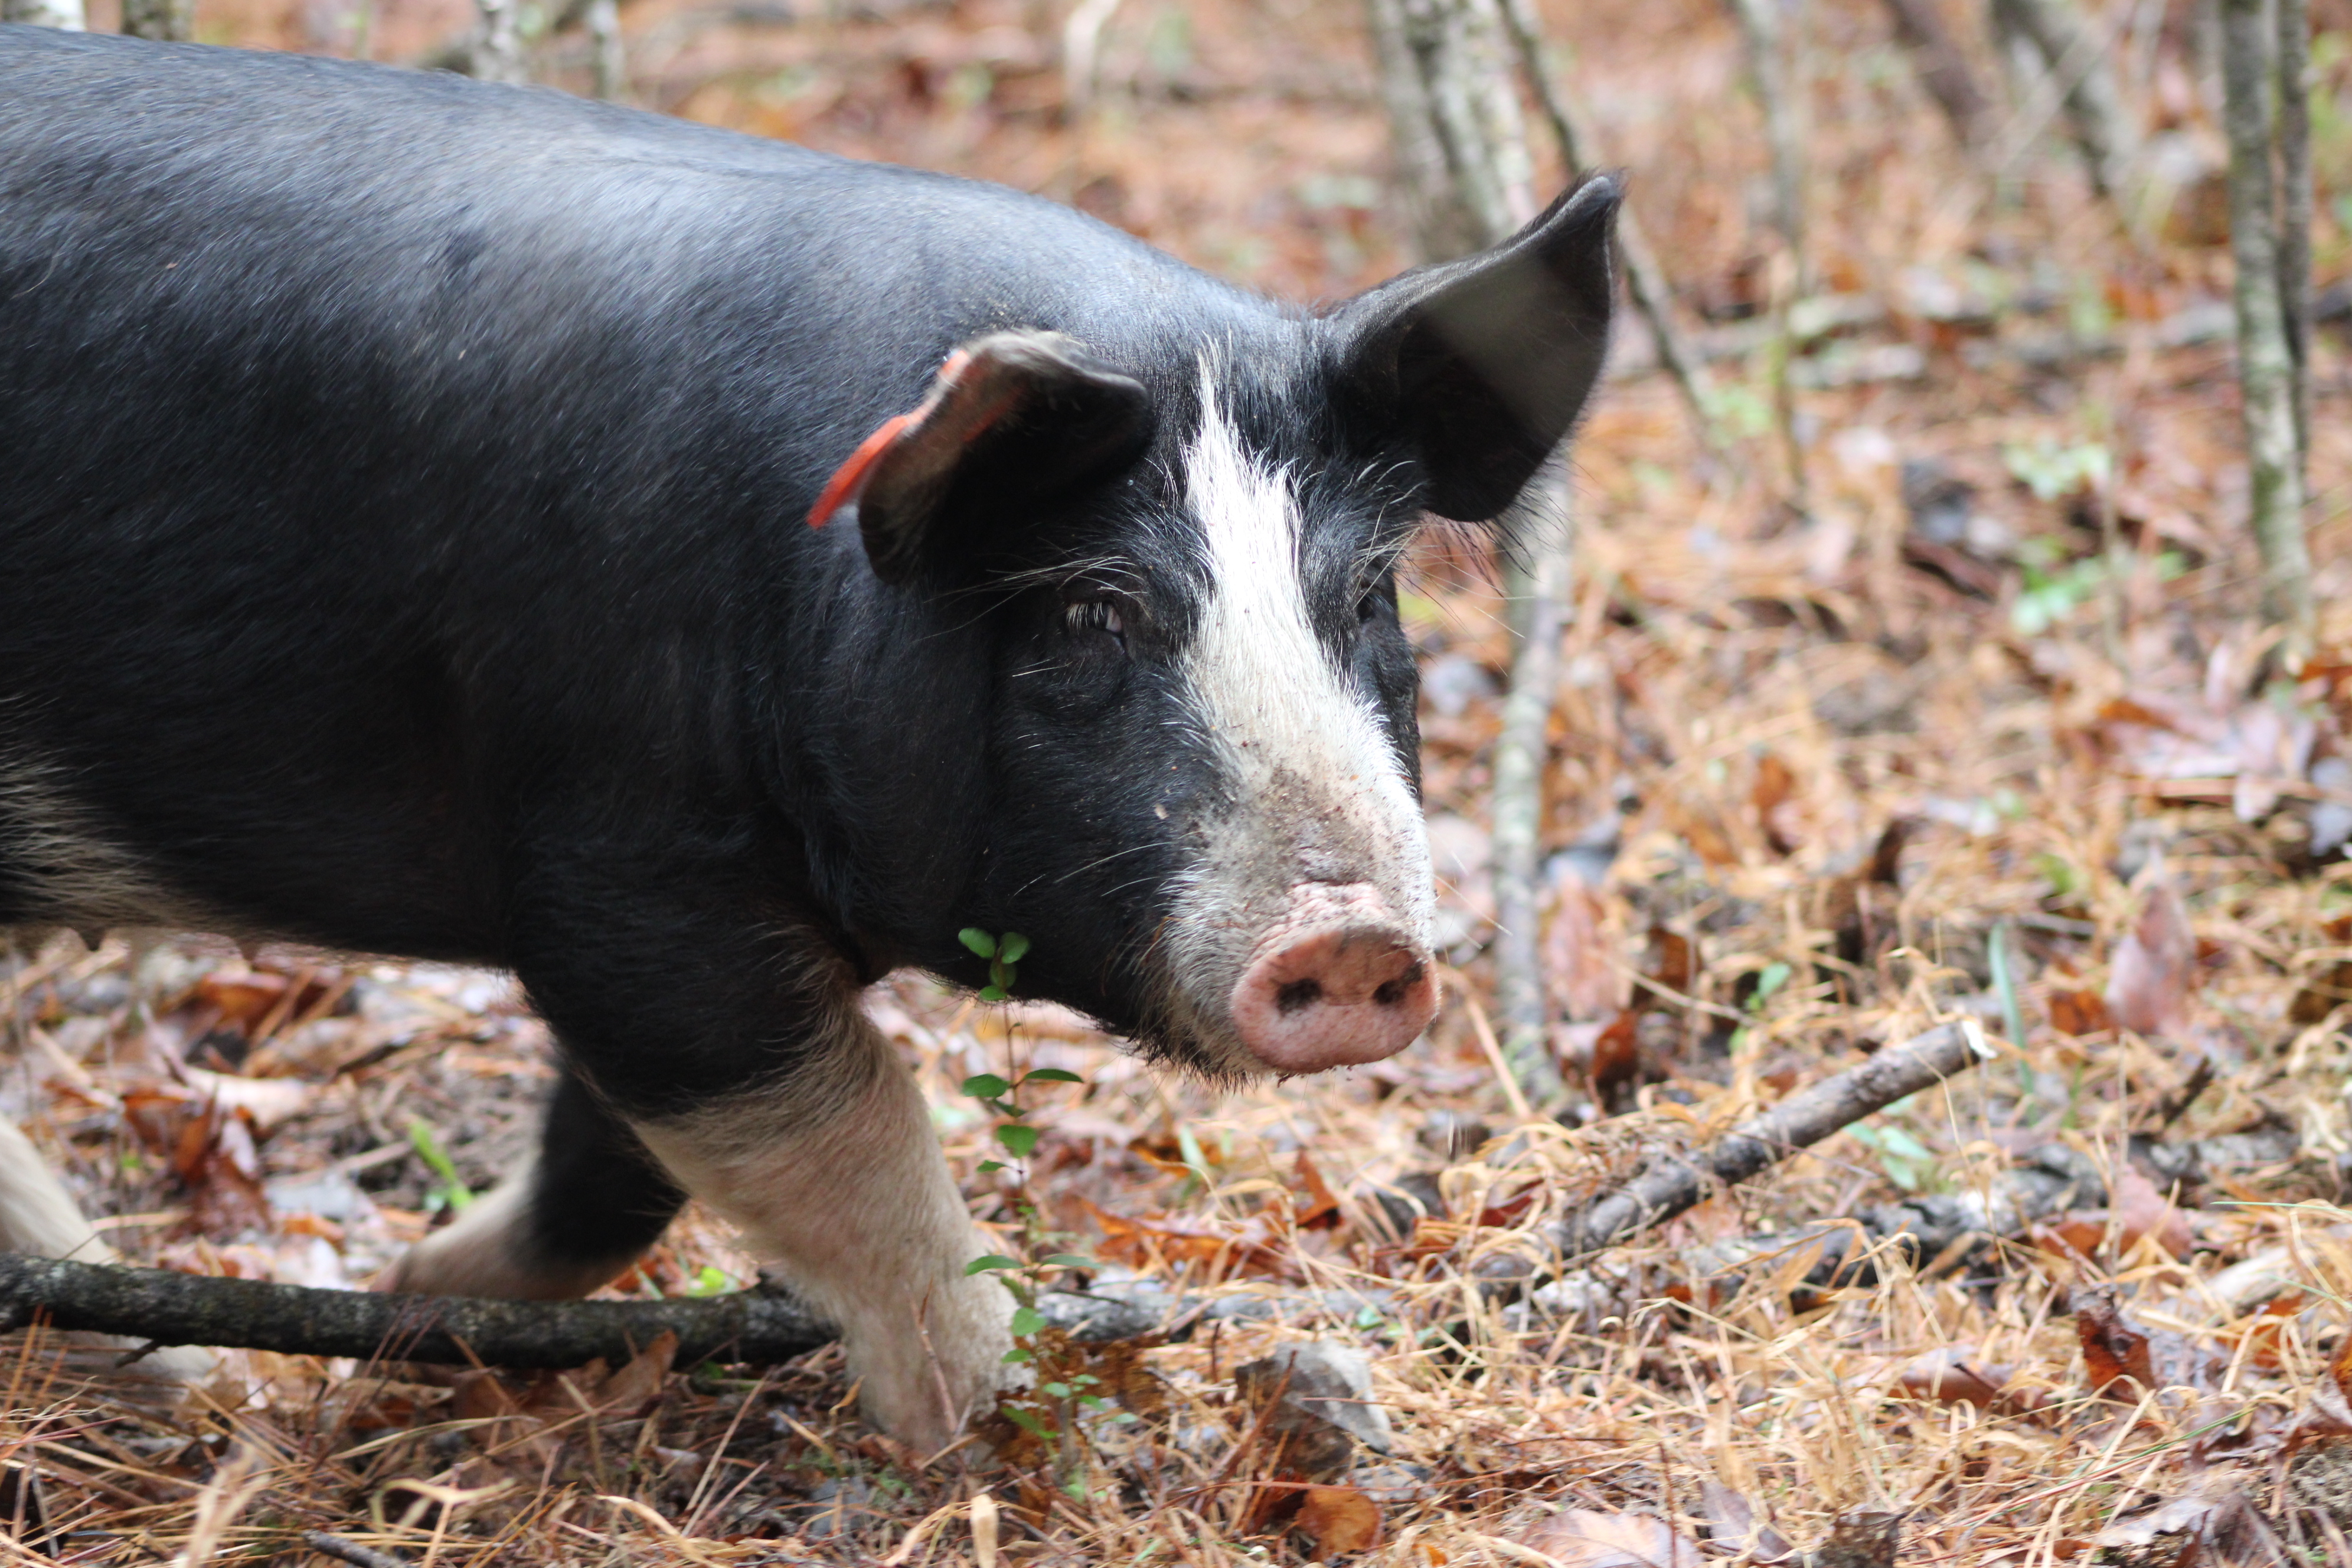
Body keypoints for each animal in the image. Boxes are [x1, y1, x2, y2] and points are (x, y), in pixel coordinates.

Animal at [0, 26, 1615, 1447]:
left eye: (1365, 594)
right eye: (1093, 611)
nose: (1352, 937)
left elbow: (615, 1169)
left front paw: (412, 1310)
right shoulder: (613, 868)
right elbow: (852, 1136)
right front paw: (995, 1440)